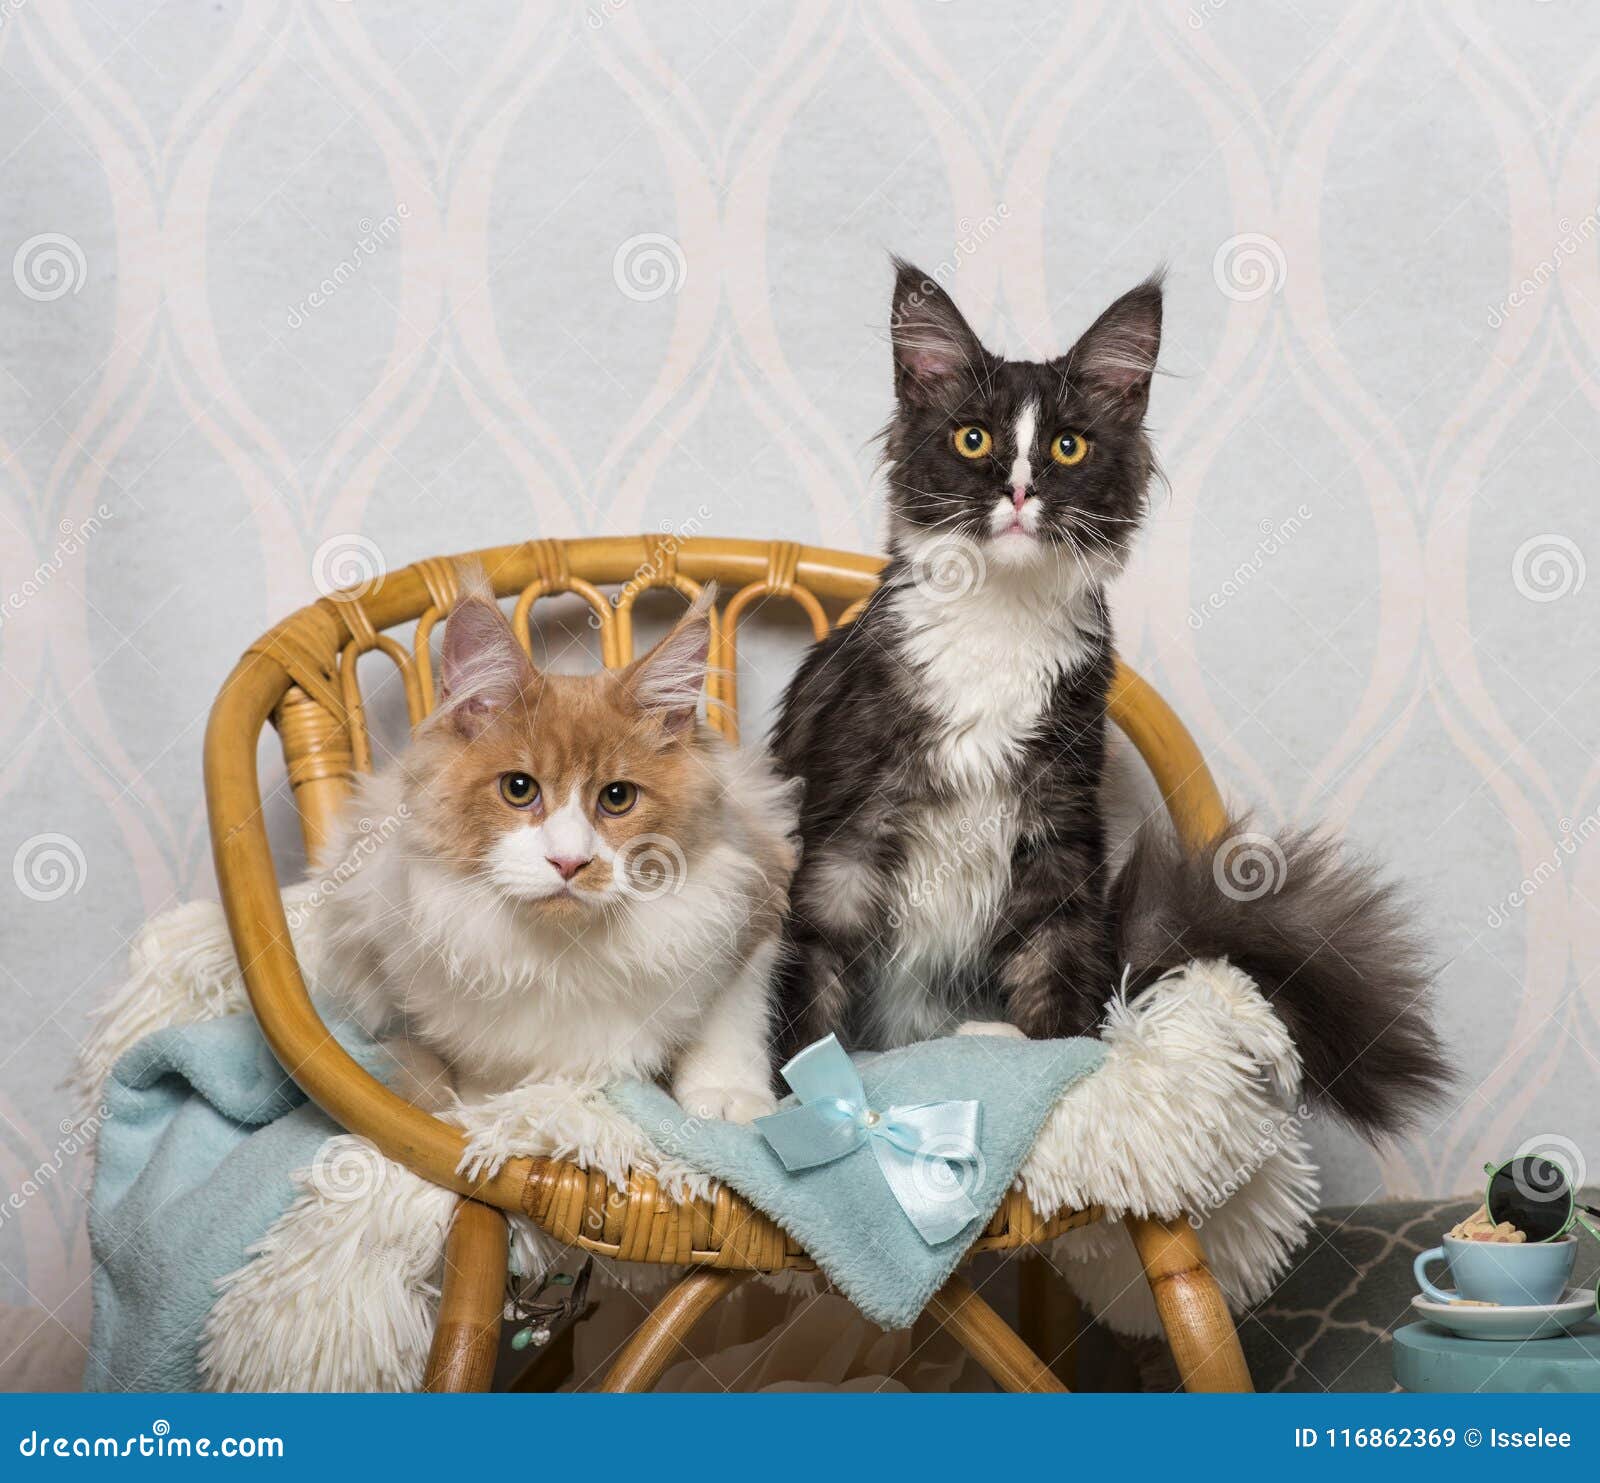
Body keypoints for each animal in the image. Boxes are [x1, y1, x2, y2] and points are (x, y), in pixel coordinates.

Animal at [321, 569, 796, 1126]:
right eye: (518, 788)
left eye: (618, 797)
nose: (569, 862)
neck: (566, 951)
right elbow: (491, 1068)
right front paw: (491, 1112)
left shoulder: (754, 910)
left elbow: (730, 1021)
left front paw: (727, 1098)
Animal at [774, 257, 1452, 1139]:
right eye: (973, 438)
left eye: (1068, 446)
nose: (1021, 493)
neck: (999, 625)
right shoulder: (846, 834)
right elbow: (813, 990)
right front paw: (794, 1099)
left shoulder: (1058, 825)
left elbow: (1059, 971)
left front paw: (1063, 1079)